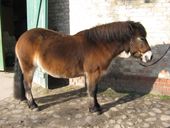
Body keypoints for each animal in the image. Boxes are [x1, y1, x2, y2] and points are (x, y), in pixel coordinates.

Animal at [13, 20, 153, 114]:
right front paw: (94, 109)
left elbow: (94, 91)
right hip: (29, 68)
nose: (150, 56)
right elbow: (92, 90)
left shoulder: (95, 74)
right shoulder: (92, 73)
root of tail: (21, 38)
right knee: (27, 86)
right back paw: (33, 105)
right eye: (141, 38)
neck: (99, 45)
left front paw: (96, 106)